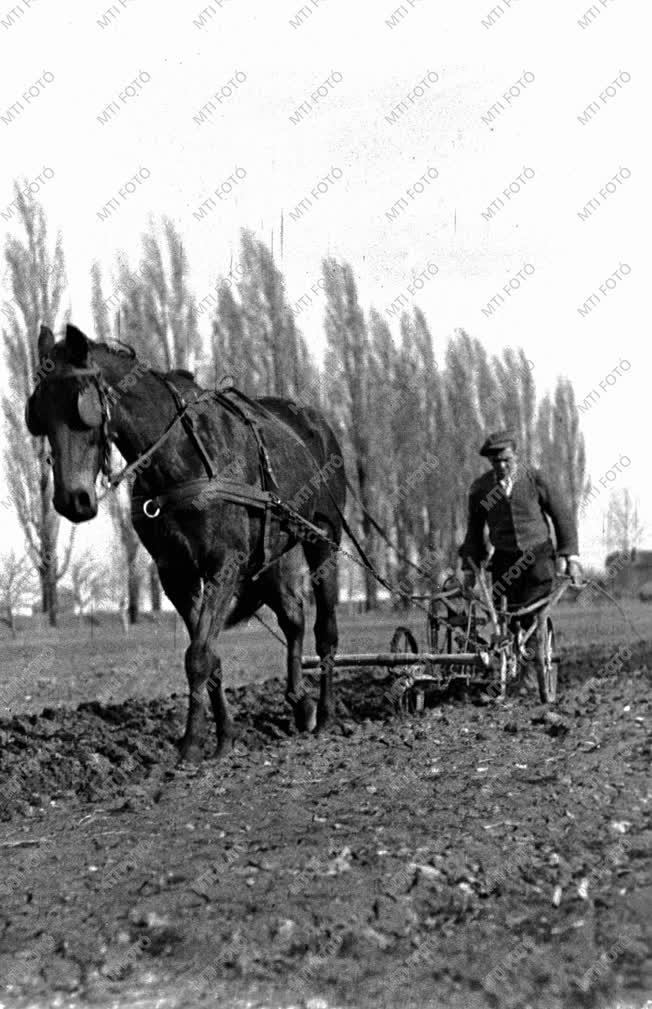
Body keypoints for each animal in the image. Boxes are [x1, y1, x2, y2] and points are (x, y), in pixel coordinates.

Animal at [24, 326, 347, 758]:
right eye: (39, 413)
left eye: (81, 408)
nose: (71, 500)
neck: (179, 457)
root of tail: (315, 421)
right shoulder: (175, 573)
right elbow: (209, 656)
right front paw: (225, 736)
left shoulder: (224, 565)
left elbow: (198, 656)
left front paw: (191, 743)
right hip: (271, 553)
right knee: (293, 618)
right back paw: (300, 704)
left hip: (323, 537)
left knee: (325, 630)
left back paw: (325, 713)